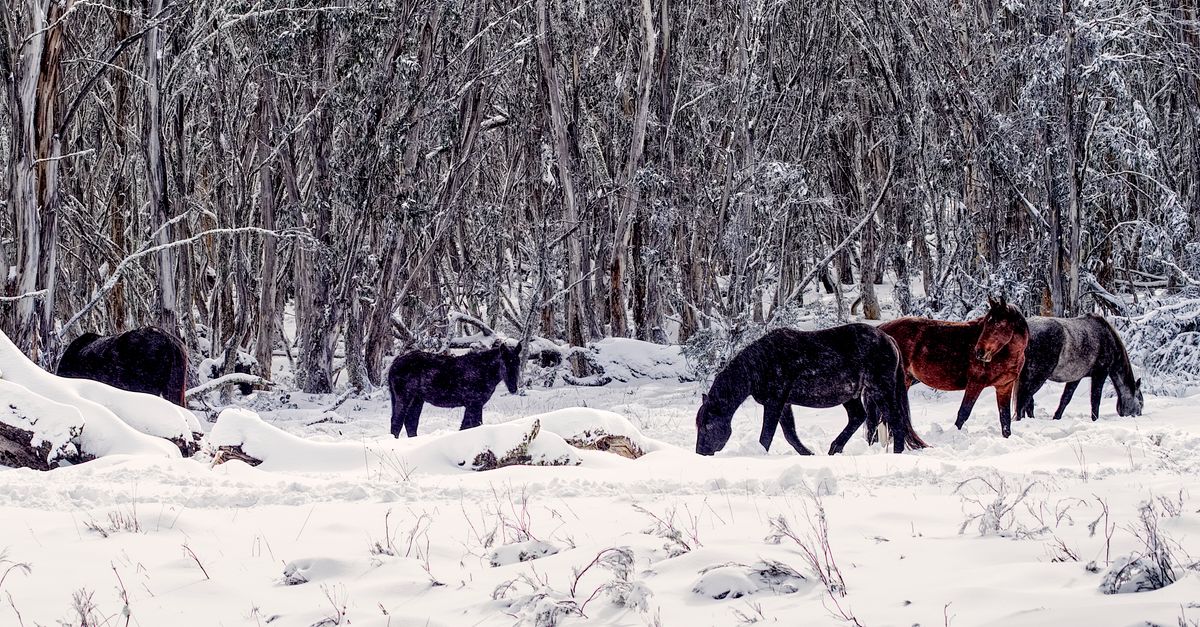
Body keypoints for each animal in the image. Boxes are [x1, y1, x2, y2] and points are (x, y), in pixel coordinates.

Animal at [388, 341, 523, 438]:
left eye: (517, 364)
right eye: (504, 364)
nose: (513, 388)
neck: (483, 371)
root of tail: (394, 364)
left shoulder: (473, 404)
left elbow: (466, 426)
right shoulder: (474, 403)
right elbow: (473, 425)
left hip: (417, 400)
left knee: (410, 423)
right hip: (404, 397)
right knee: (397, 423)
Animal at [695, 324, 927, 456]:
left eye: (707, 425)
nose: (701, 452)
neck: (758, 365)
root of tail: (889, 340)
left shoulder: (775, 402)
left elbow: (767, 436)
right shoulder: (783, 404)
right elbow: (790, 434)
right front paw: (807, 454)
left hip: (881, 390)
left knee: (896, 422)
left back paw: (895, 454)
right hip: (852, 395)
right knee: (858, 417)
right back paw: (835, 448)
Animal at [879, 297, 1029, 438]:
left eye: (998, 324)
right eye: (986, 323)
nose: (979, 352)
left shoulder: (1004, 387)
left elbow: (1005, 418)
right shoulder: (975, 383)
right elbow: (963, 413)